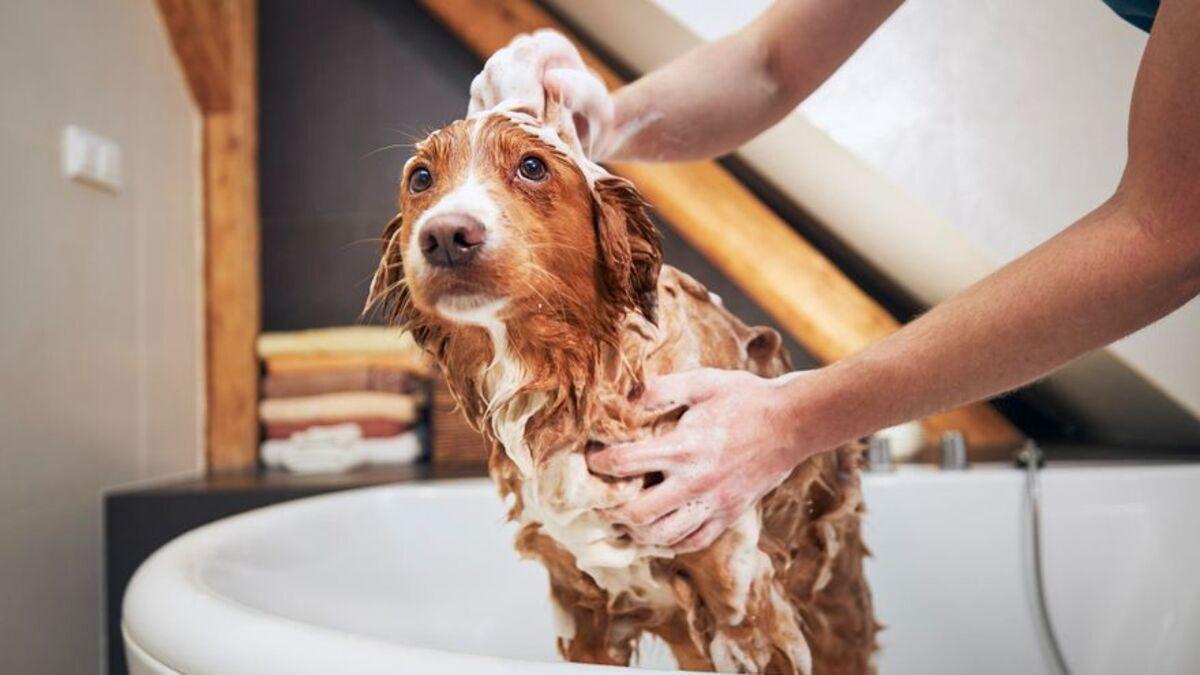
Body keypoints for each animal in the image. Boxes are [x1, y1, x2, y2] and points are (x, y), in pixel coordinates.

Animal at [362, 105, 873, 672]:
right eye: (420, 178)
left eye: (532, 166)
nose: (447, 235)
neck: (571, 383)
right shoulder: (581, 605)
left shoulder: (740, 597)